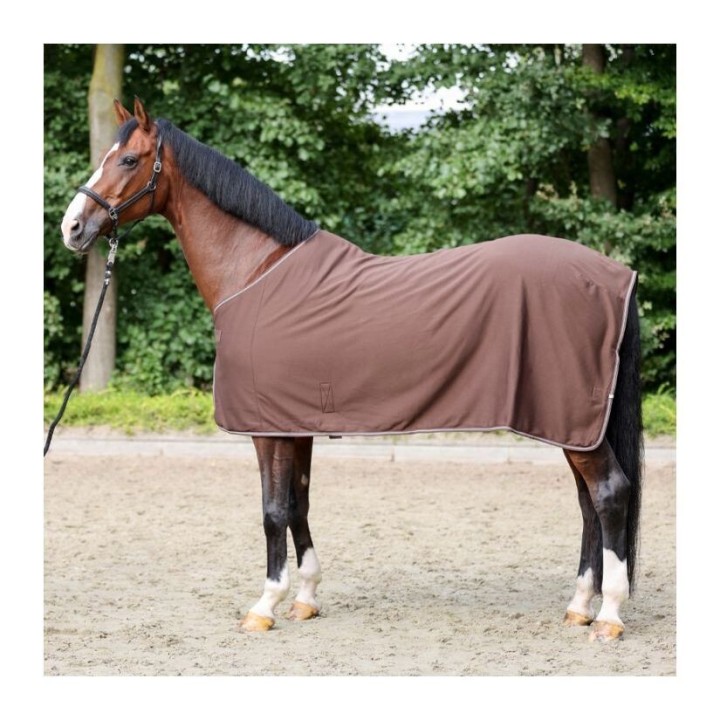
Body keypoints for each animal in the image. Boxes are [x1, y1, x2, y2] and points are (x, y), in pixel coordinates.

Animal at [60, 98, 643, 642]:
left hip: (573, 421)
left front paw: (264, 605)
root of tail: (616, 274)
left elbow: (273, 510)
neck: (256, 273)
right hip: (574, 425)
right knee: (588, 503)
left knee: (609, 493)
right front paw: (305, 598)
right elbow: (298, 503)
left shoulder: (267, 430)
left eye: (128, 159)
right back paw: (579, 606)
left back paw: (609, 615)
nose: (72, 226)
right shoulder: (294, 425)